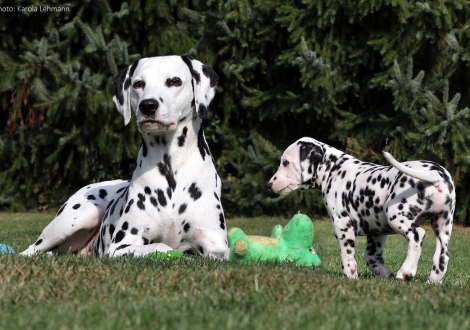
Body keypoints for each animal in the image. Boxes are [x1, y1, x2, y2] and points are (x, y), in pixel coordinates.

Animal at [21, 55, 229, 260]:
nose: (148, 105)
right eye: (138, 83)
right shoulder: (121, 246)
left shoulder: (217, 247)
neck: (171, 169)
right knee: (31, 250)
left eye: (174, 81)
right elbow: (161, 246)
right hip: (79, 216)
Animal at [268, 137, 456, 284]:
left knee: (418, 235)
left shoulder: (342, 226)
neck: (334, 170)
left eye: (285, 162)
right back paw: (433, 281)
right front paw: (383, 273)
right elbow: (371, 256)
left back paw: (406, 271)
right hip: (443, 224)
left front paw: (350, 277)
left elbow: (347, 256)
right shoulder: (376, 232)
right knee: (442, 255)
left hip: (396, 215)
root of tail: (436, 175)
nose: (269, 184)